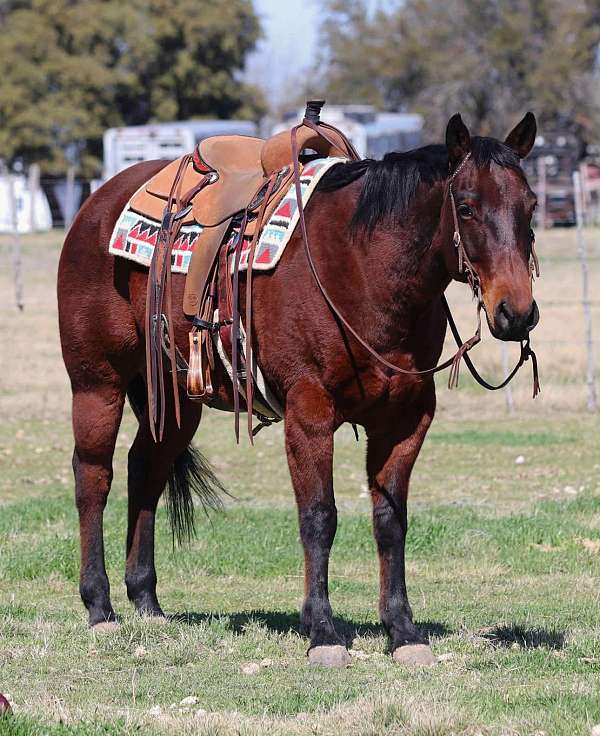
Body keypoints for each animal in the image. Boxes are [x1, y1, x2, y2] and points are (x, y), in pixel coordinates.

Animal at [58, 113, 540, 668]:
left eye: (531, 205)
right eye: (466, 206)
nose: (516, 312)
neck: (362, 267)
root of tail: (96, 203)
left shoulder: (406, 419)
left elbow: (390, 520)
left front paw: (402, 631)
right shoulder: (308, 412)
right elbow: (319, 517)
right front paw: (323, 632)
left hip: (176, 399)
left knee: (145, 471)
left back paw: (147, 601)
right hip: (97, 383)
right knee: (93, 476)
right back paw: (99, 606)